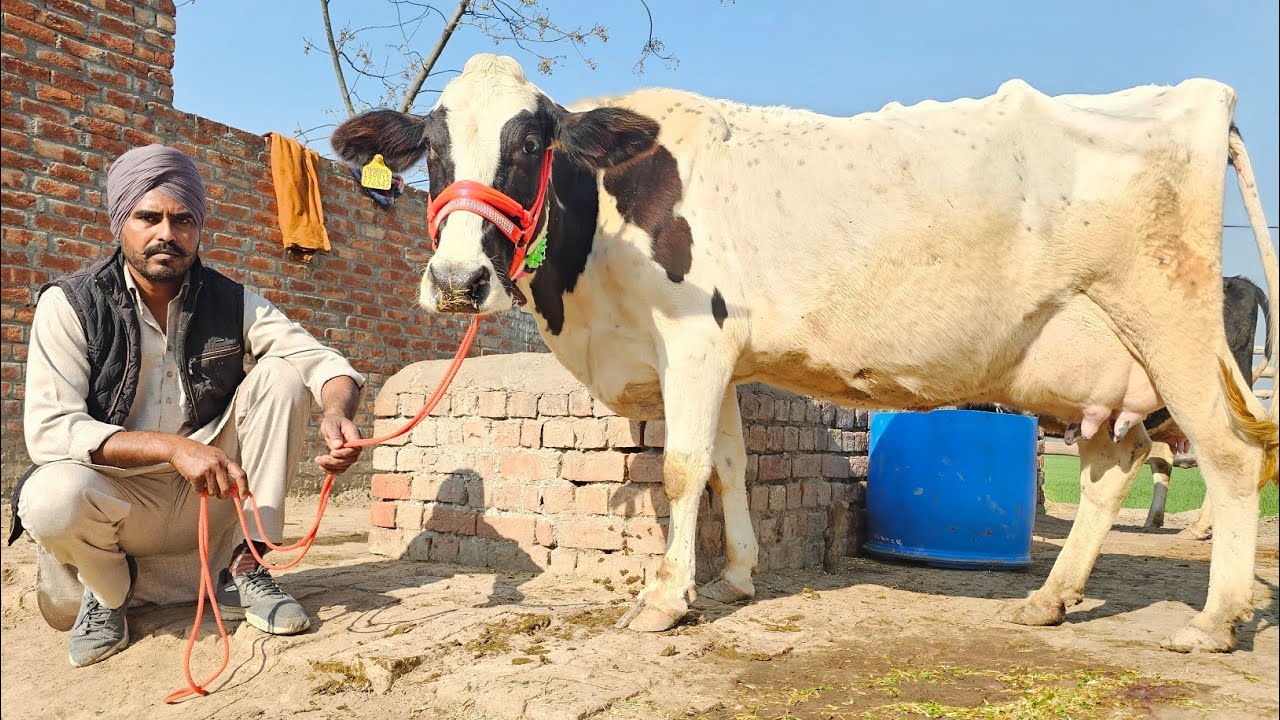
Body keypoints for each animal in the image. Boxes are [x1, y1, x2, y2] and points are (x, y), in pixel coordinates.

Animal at [332, 54, 1279, 653]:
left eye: (532, 143)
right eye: (434, 149)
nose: (457, 280)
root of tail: (1202, 96)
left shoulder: (692, 340)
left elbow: (682, 468)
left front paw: (664, 601)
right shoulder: (722, 356)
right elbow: (729, 466)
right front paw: (736, 580)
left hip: (1171, 325)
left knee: (1230, 456)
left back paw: (1214, 621)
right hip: (1101, 366)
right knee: (1116, 463)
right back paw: (1050, 600)